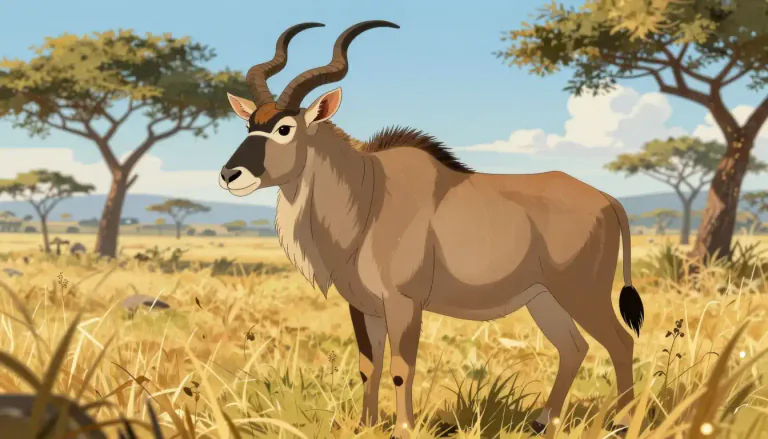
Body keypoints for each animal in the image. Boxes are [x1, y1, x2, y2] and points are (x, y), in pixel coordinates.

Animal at [219, 21, 645, 437]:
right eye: (248, 124)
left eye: (285, 128)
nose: (229, 175)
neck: (368, 195)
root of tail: (609, 201)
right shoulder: (364, 308)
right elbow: (368, 366)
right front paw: (364, 426)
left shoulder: (403, 304)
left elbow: (400, 369)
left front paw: (403, 429)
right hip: (543, 299)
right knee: (574, 347)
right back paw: (542, 423)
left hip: (582, 294)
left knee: (620, 342)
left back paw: (621, 424)